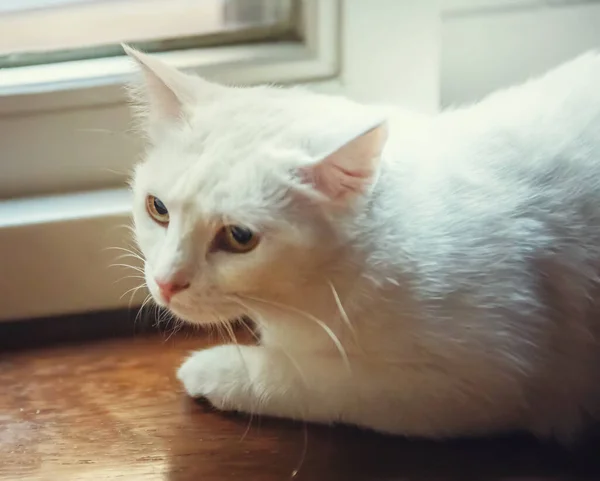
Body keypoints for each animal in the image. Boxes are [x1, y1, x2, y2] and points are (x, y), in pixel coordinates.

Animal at [123, 47, 600, 440]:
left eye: (240, 237)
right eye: (157, 208)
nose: (166, 282)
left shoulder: (480, 380)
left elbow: (314, 377)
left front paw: (218, 368)